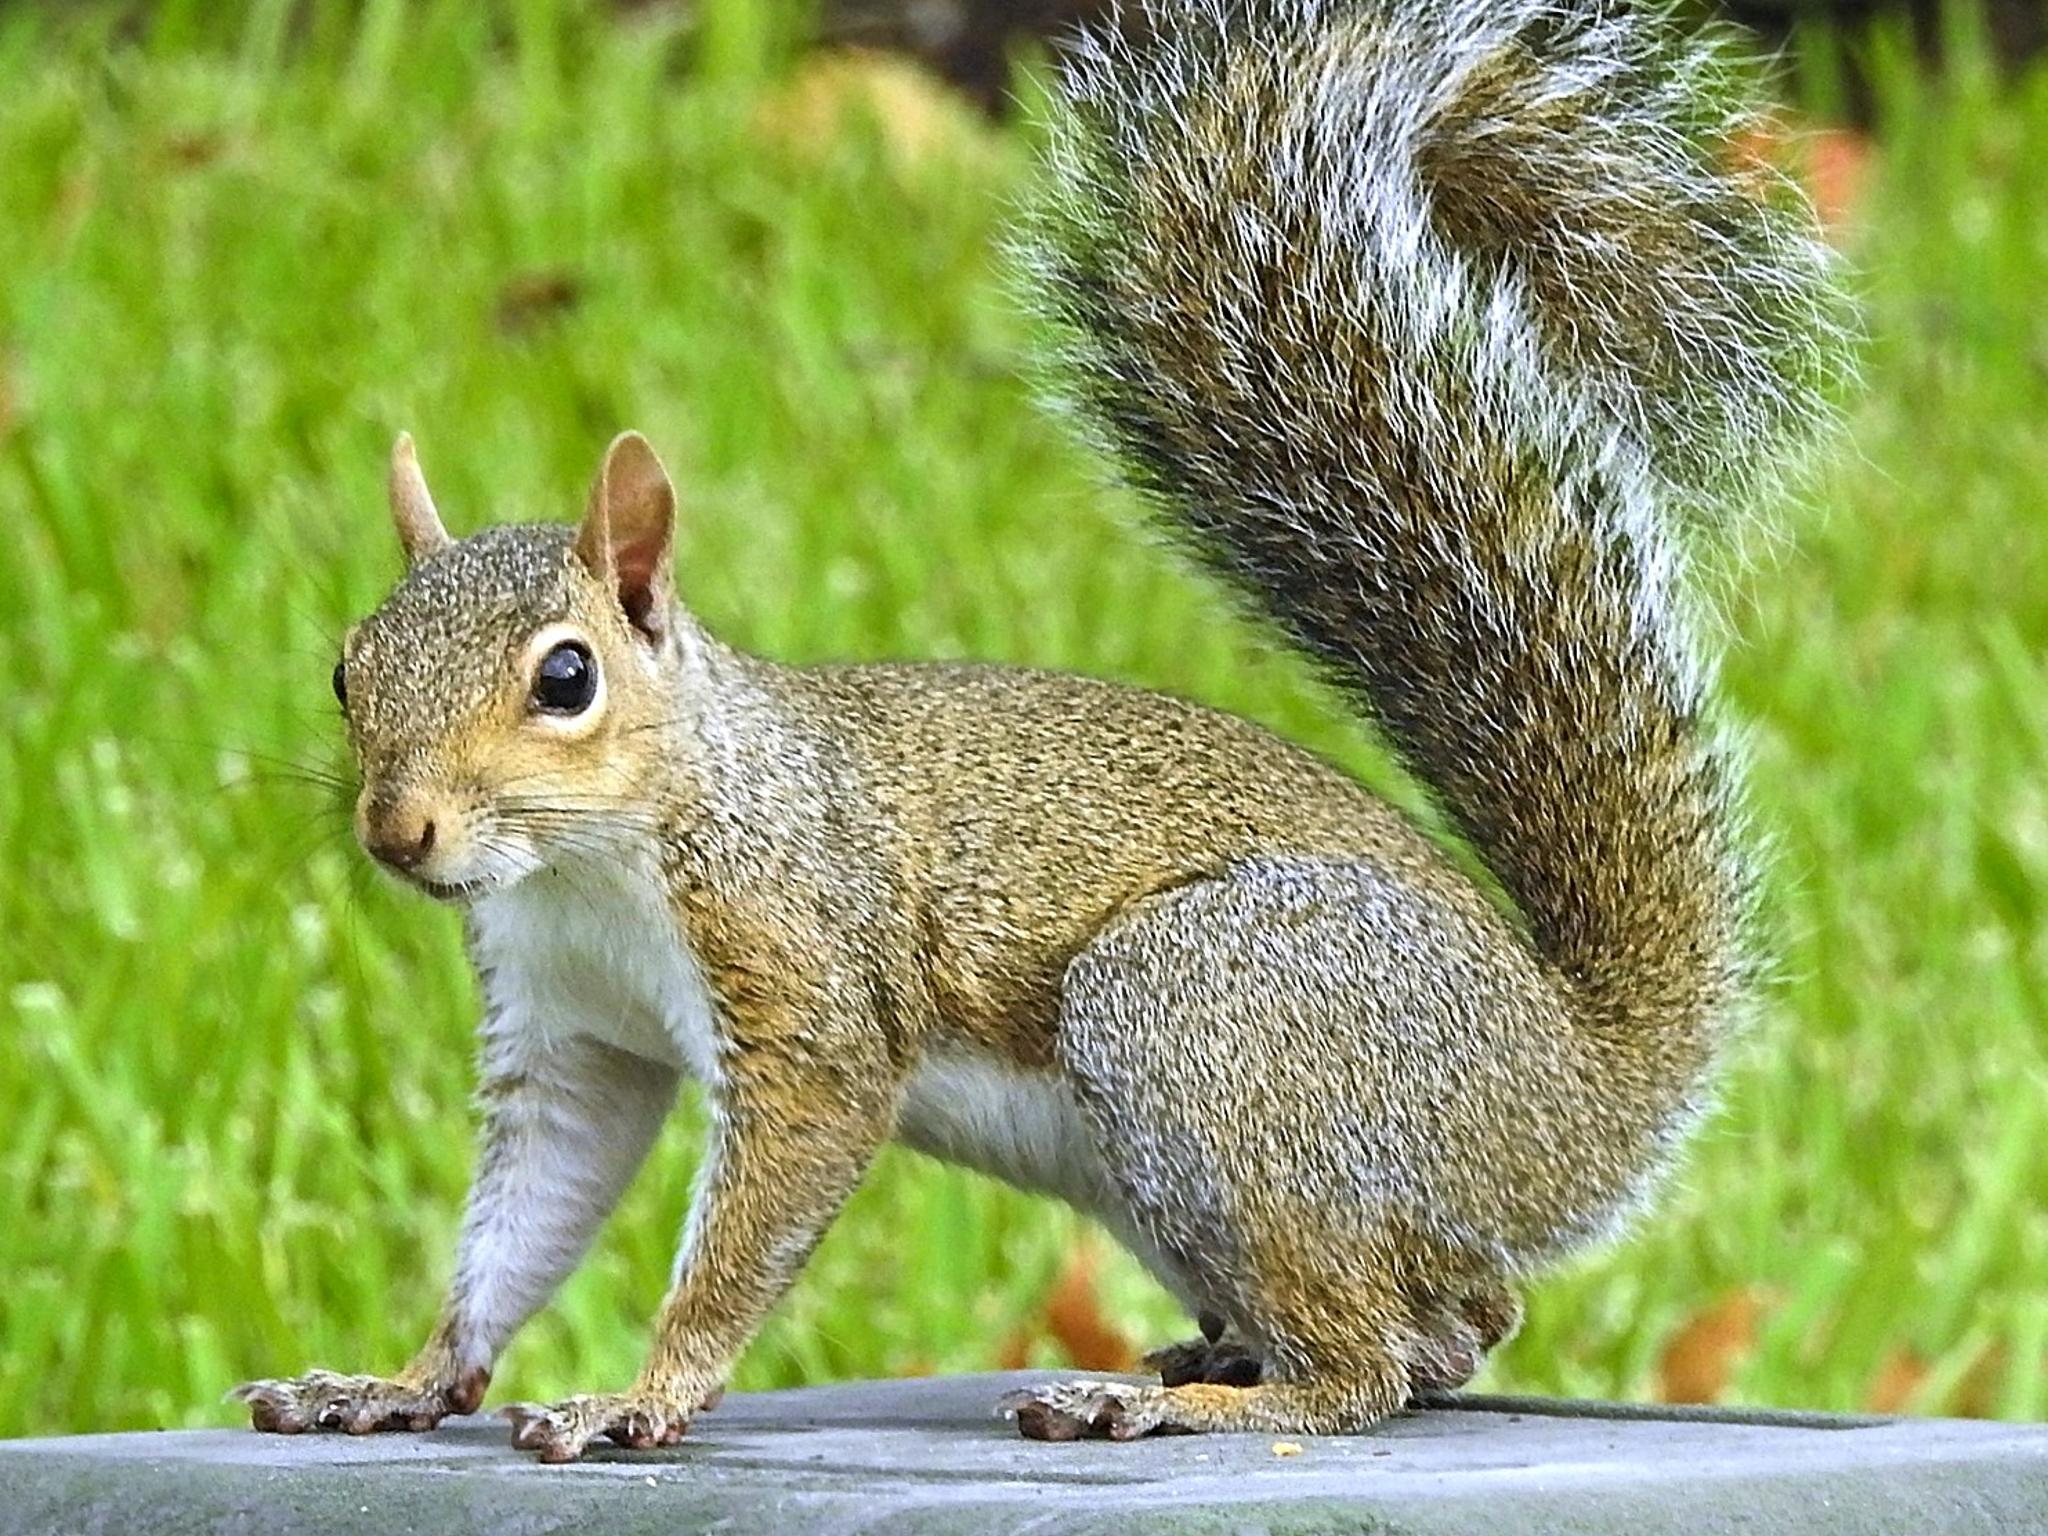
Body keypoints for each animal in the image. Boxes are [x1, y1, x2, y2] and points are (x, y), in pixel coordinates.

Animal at [235, 0, 1840, 1459]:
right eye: (345, 669)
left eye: (565, 680)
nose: (398, 831)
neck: (592, 856)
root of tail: (1573, 1095)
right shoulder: (572, 1036)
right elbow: (526, 1217)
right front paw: (401, 1379)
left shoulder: (801, 973)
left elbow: (757, 1214)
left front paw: (641, 1398)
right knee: (1453, 1326)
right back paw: (1213, 1356)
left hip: (1207, 1016)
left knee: (1373, 1366)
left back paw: (1180, 1400)